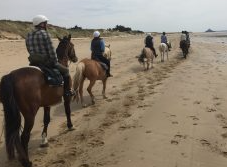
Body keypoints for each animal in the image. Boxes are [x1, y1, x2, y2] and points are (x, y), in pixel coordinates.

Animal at [0, 34, 77, 167]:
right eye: (72, 46)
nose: (76, 58)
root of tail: (11, 76)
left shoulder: (47, 103)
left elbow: (46, 120)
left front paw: (44, 139)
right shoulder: (66, 97)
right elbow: (67, 111)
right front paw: (70, 125)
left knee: (15, 137)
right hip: (30, 114)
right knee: (24, 137)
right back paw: (26, 161)